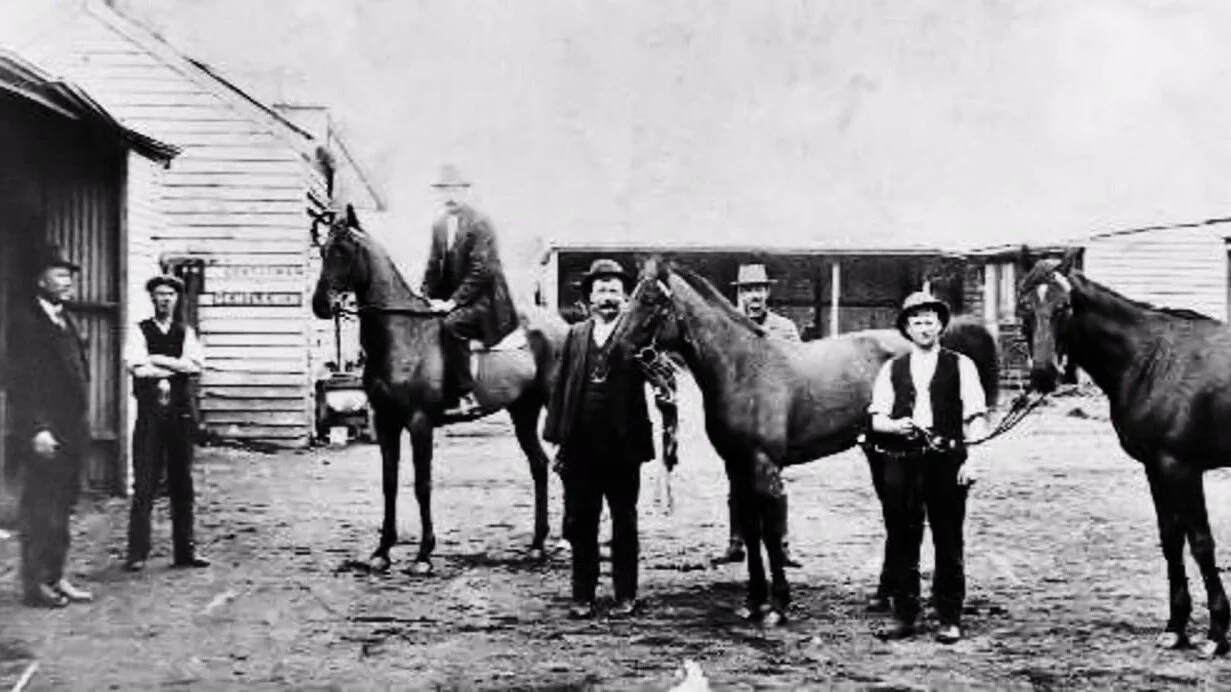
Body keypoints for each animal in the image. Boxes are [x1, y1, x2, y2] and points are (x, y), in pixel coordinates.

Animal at [308, 204, 570, 574]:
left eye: (344, 251)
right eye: (322, 251)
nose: (320, 305)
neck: (403, 335)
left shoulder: (420, 422)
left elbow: (422, 484)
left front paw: (423, 556)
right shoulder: (386, 422)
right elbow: (390, 483)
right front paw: (382, 551)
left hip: (554, 403)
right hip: (523, 409)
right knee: (540, 465)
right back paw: (536, 546)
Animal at [609, 256, 999, 623]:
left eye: (649, 300)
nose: (613, 350)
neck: (744, 369)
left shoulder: (764, 466)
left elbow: (769, 534)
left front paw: (779, 605)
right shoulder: (737, 466)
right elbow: (750, 531)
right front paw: (754, 602)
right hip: (880, 451)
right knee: (894, 519)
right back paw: (883, 596)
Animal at [1018, 251, 1231, 657]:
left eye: (1064, 306)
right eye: (1025, 307)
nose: (1044, 373)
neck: (1152, 359)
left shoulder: (1181, 468)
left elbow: (1201, 544)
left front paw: (1217, 635)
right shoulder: (1156, 468)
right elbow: (1171, 540)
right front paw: (1175, 628)